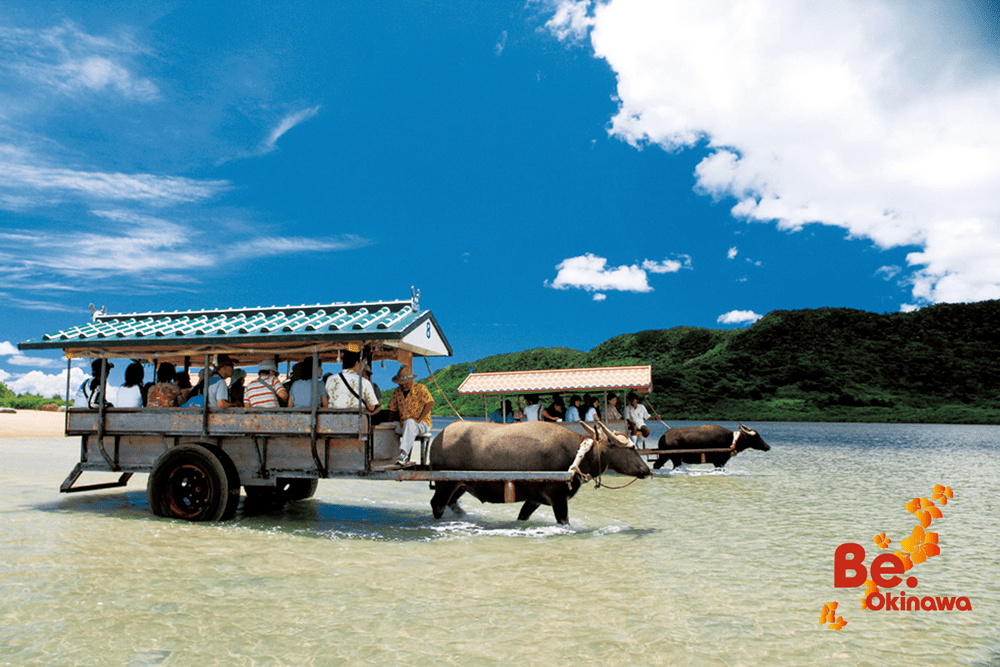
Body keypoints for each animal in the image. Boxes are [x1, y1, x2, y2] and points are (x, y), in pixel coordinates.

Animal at [429, 420, 650, 524]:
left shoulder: (534, 499)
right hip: (445, 483)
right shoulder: (558, 497)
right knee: (437, 504)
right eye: (631, 448)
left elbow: (522, 516)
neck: (577, 454)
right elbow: (564, 521)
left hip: (460, 484)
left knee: (452, 503)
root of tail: (438, 438)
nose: (647, 470)